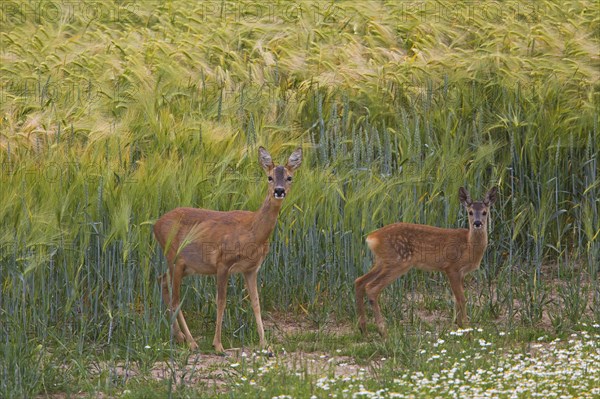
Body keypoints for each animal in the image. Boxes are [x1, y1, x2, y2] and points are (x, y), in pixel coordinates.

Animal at [154, 148, 302, 354]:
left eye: (289, 177)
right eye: (269, 177)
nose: (279, 191)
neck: (252, 231)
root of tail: (155, 225)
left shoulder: (251, 269)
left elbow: (256, 303)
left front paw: (266, 344)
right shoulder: (222, 263)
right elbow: (221, 302)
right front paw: (218, 345)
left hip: (185, 267)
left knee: (162, 282)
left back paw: (179, 337)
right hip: (174, 259)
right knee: (176, 298)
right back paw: (191, 342)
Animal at [356, 188, 496, 338]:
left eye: (484, 212)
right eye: (470, 212)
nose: (477, 223)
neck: (468, 245)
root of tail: (372, 238)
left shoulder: (461, 273)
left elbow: (456, 299)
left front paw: (459, 326)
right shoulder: (451, 267)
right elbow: (462, 299)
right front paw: (467, 330)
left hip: (382, 261)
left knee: (359, 281)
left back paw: (363, 330)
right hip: (398, 262)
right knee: (371, 287)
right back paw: (383, 332)